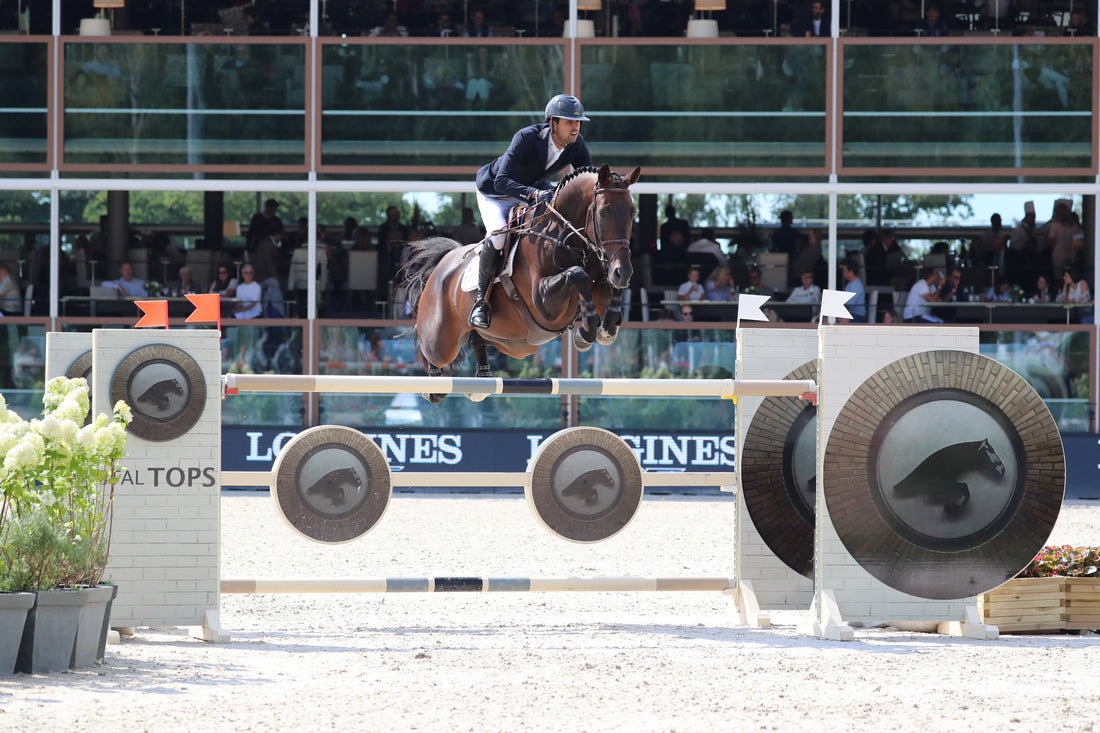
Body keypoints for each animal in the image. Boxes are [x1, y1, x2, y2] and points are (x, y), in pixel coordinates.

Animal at [404, 162, 642, 402]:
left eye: (633, 212)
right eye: (603, 212)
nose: (623, 271)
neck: (565, 237)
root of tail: (442, 265)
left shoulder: (599, 284)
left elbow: (609, 291)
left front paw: (606, 329)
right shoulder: (543, 302)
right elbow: (576, 274)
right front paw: (585, 333)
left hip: (513, 342)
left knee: (479, 340)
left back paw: (481, 382)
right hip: (443, 342)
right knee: (432, 352)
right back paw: (435, 386)